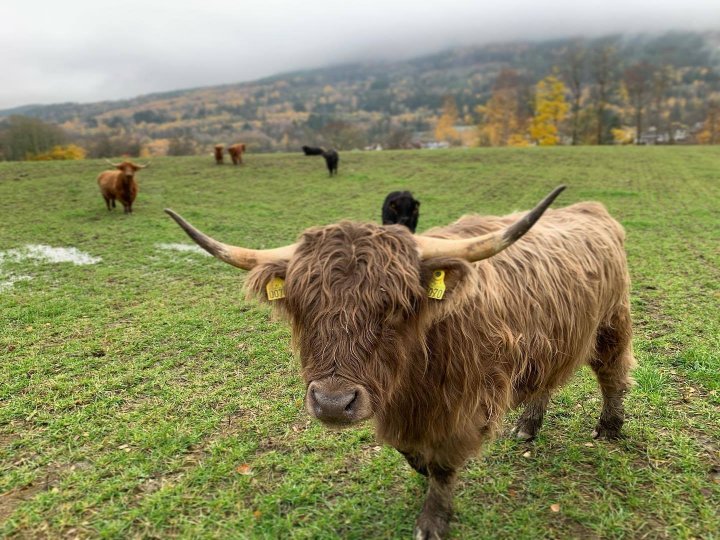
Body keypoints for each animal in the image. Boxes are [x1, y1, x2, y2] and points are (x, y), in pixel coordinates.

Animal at [165, 184, 636, 536]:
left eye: (393, 307)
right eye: (302, 306)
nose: (333, 403)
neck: (414, 374)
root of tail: (590, 208)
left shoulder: (461, 406)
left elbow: (443, 466)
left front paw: (433, 519)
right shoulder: (395, 407)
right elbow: (407, 450)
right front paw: (420, 471)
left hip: (612, 322)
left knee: (613, 374)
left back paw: (609, 428)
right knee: (547, 378)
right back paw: (528, 426)